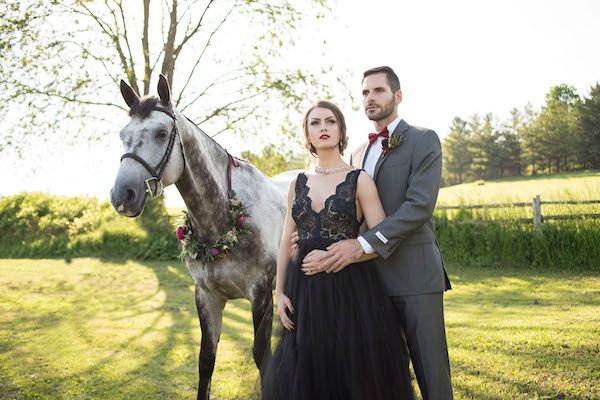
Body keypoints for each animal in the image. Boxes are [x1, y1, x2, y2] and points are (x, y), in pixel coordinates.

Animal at [111, 75, 288, 400]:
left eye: (161, 133)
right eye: (123, 135)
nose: (123, 195)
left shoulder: (261, 296)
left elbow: (261, 356)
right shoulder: (207, 296)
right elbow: (206, 359)